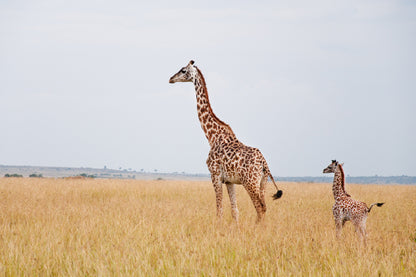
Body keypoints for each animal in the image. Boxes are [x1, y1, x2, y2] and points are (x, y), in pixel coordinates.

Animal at [169, 60, 282, 222]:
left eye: (183, 70)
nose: (171, 79)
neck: (212, 136)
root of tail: (264, 163)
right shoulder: (229, 180)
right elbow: (234, 210)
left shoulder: (215, 174)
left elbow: (219, 209)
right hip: (262, 182)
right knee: (264, 207)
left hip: (250, 182)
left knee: (260, 207)